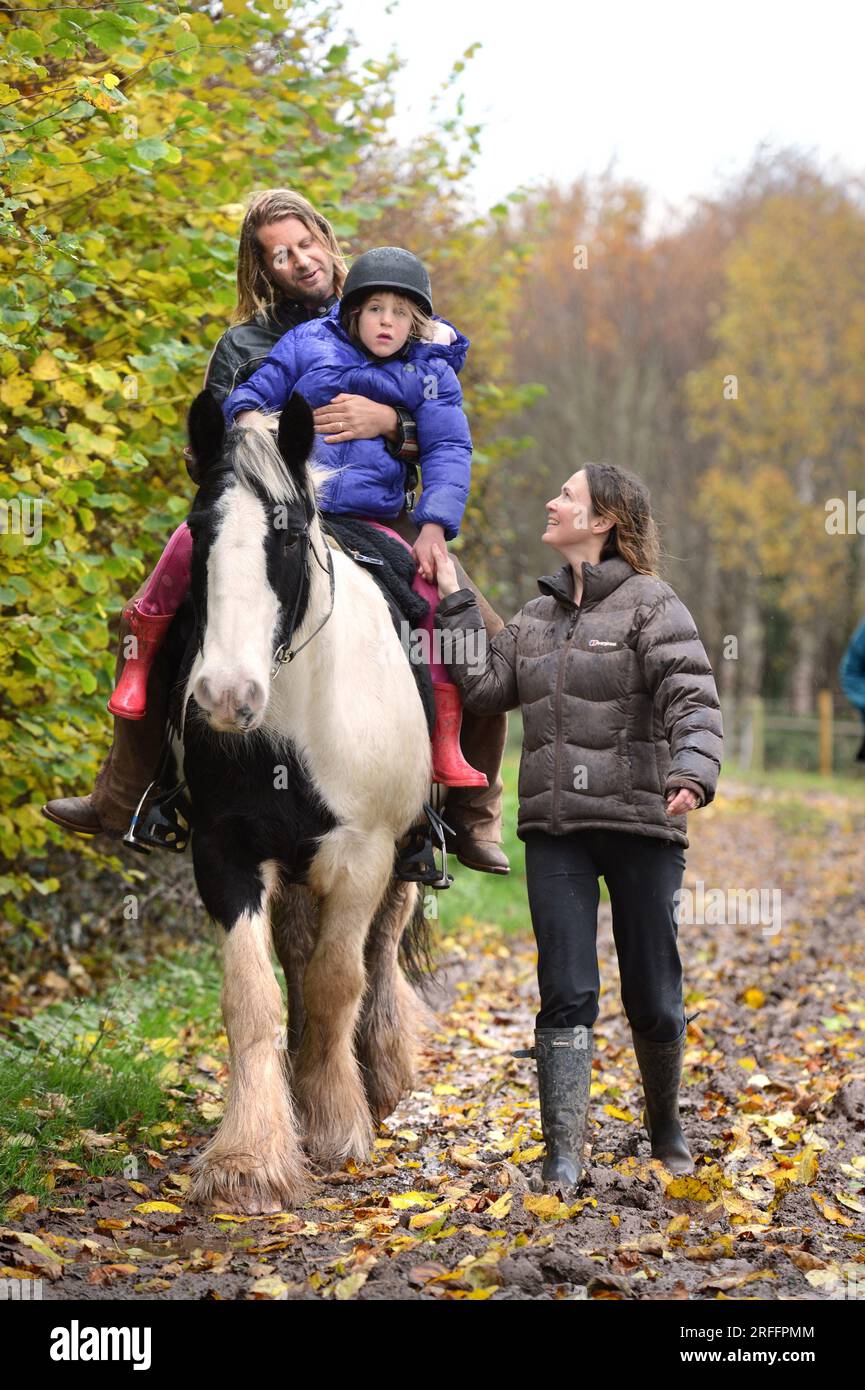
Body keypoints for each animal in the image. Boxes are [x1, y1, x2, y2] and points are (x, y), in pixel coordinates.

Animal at [176, 388, 434, 1214]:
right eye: (198, 531)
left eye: (285, 537)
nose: (226, 697)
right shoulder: (225, 851)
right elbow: (252, 997)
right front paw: (250, 1157)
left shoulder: (363, 855)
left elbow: (333, 983)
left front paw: (336, 1121)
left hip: (405, 858)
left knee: (378, 950)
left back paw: (378, 1071)